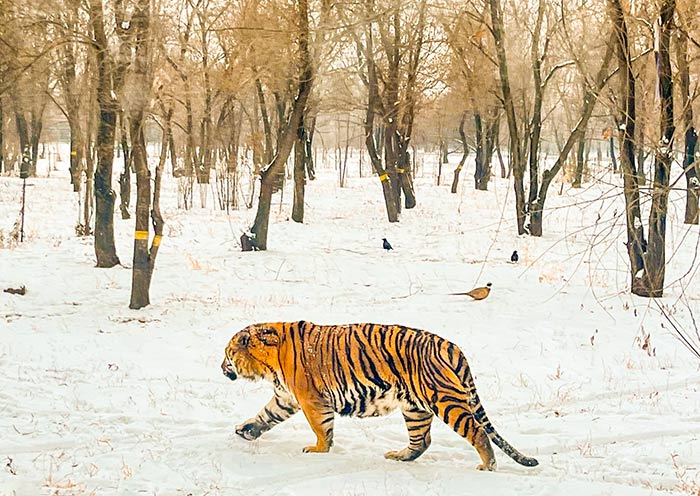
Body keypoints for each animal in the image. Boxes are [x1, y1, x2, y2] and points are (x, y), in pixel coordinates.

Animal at [221, 321, 538, 471]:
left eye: (228, 353)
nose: (221, 367)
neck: (269, 362)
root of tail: (451, 346)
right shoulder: (285, 397)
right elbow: (266, 415)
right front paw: (246, 430)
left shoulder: (311, 399)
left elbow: (321, 428)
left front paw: (318, 450)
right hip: (415, 408)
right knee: (422, 441)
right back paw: (399, 456)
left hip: (444, 401)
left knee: (478, 432)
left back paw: (487, 466)